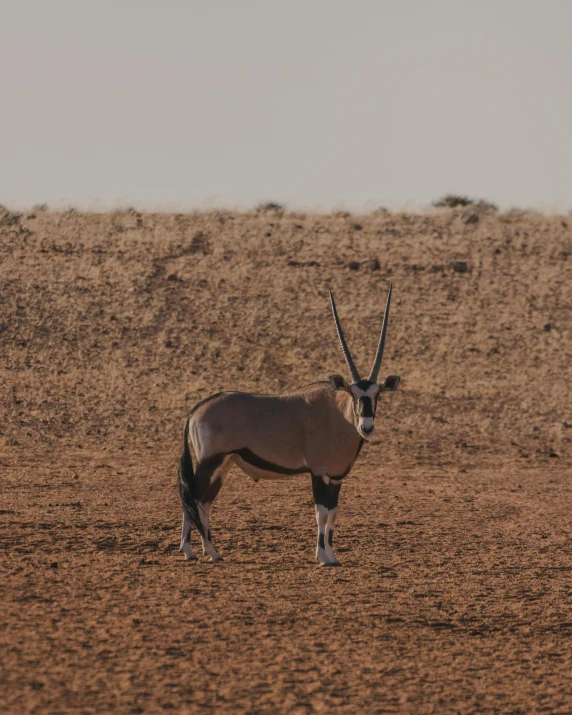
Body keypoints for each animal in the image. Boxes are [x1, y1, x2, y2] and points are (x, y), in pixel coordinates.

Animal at [177, 284, 400, 564]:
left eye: (377, 394)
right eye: (353, 394)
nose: (366, 427)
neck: (338, 414)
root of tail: (195, 411)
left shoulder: (336, 477)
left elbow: (333, 513)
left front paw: (333, 555)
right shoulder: (319, 472)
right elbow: (321, 513)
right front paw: (322, 557)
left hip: (223, 464)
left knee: (204, 502)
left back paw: (211, 552)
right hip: (210, 461)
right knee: (193, 498)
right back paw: (191, 551)